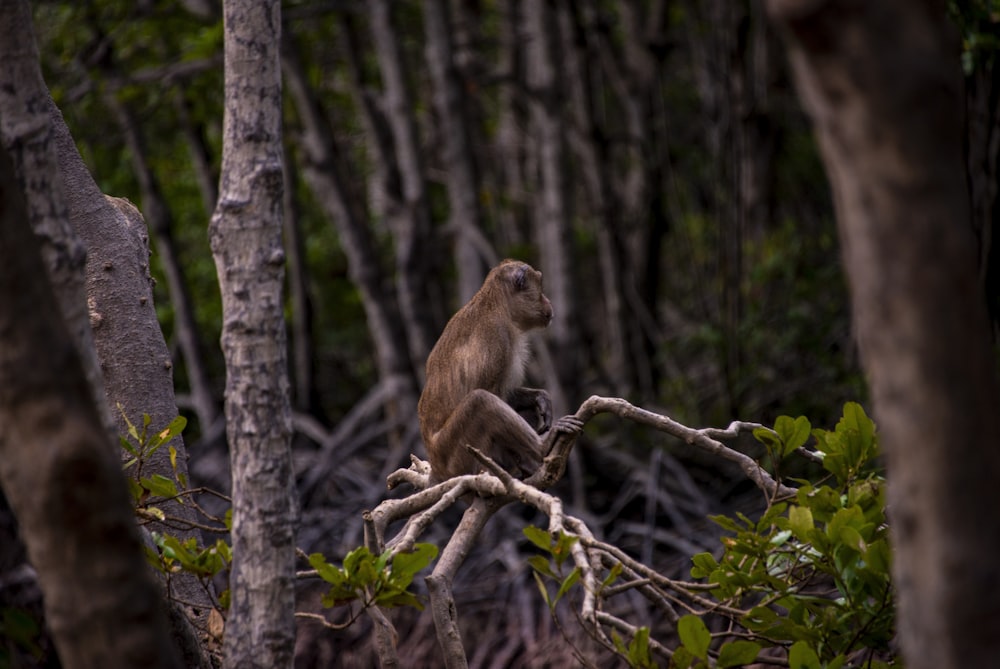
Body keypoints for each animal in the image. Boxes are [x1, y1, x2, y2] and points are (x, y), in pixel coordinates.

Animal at [418, 258, 584, 482]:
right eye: (540, 288)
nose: (548, 301)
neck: (496, 305)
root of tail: (436, 466)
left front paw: (540, 397)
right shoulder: (497, 337)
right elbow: (489, 392)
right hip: (454, 454)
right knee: (480, 401)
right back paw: (542, 448)